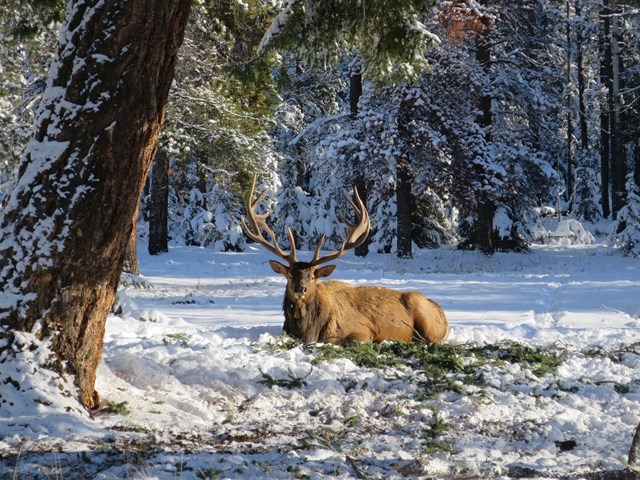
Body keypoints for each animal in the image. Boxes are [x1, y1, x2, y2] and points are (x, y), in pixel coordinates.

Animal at [241, 176, 450, 344]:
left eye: (312, 276)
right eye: (290, 274)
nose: (301, 289)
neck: (309, 330)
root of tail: (442, 313)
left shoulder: (362, 330)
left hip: (426, 322)